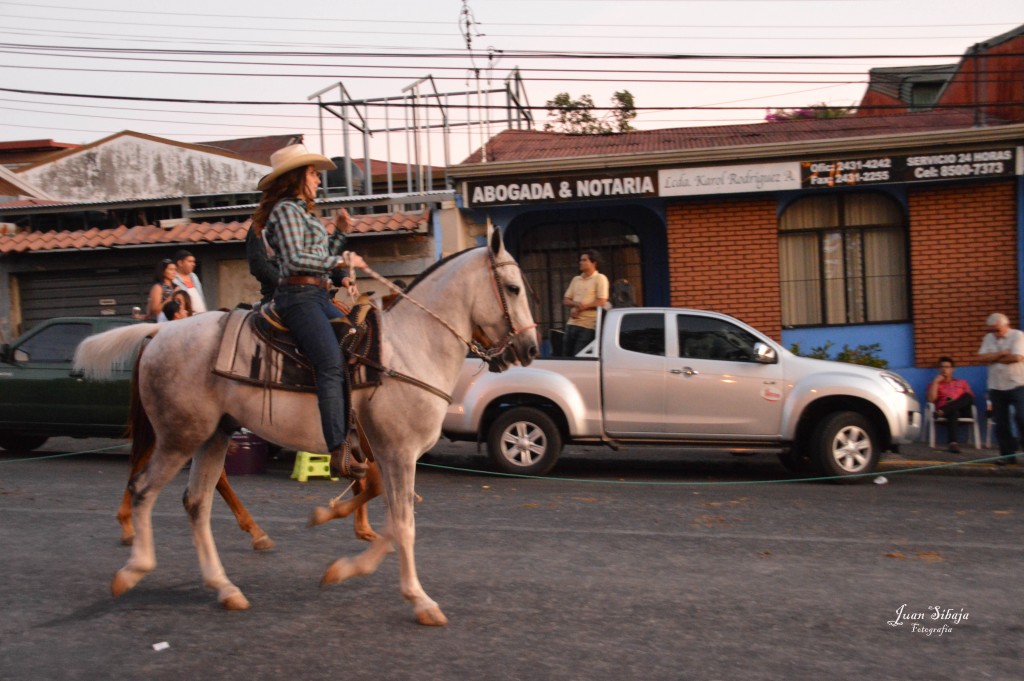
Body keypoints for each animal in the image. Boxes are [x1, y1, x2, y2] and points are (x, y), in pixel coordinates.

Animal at [73, 231, 540, 622]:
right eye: (513, 288)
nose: (530, 348)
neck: (409, 349)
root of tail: (159, 334)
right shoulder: (397, 453)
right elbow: (403, 524)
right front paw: (419, 600)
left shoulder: (389, 456)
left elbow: (394, 520)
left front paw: (342, 568)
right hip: (179, 437)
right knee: (144, 488)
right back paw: (134, 568)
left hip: (213, 436)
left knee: (196, 502)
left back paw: (225, 586)